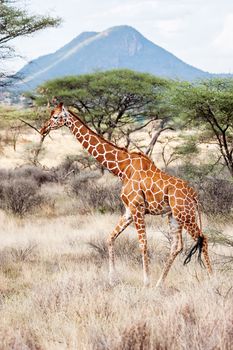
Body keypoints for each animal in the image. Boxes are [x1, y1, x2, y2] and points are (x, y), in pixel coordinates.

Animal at [40, 102, 213, 286]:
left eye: (55, 117)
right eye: (50, 114)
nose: (43, 129)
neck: (122, 169)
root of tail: (194, 195)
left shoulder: (137, 208)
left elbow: (143, 244)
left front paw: (146, 282)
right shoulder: (129, 210)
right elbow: (110, 238)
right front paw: (112, 279)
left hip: (185, 214)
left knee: (203, 239)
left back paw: (212, 279)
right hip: (174, 215)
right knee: (177, 246)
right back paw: (160, 283)